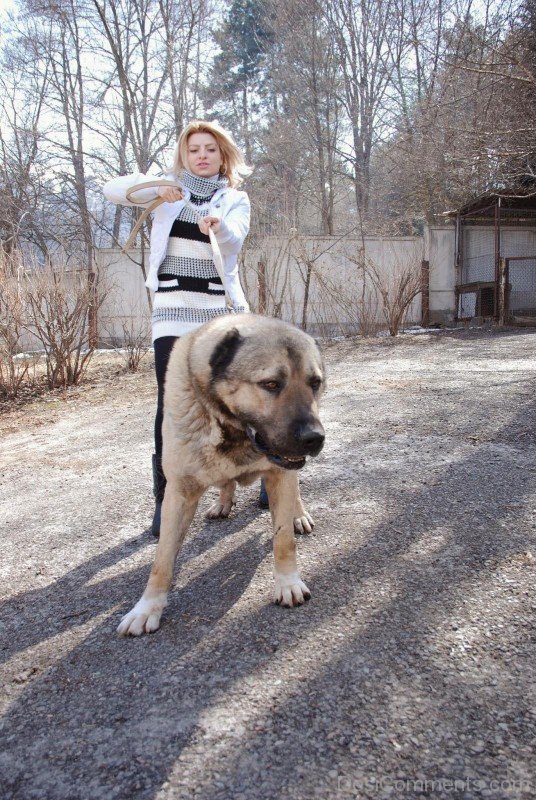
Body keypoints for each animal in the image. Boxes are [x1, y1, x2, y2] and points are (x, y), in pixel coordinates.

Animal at [119, 312, 324, 636]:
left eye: (314, 383)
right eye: (270, 384)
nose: (315, 438)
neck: (233, 430)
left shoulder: (280, 475)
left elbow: (283, 540)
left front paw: (287, 583)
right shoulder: (178, 494)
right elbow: (161, 560)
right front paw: (147, 607)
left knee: (294, 494)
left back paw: (298, 514)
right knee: (227, 484)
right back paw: (224, 502)